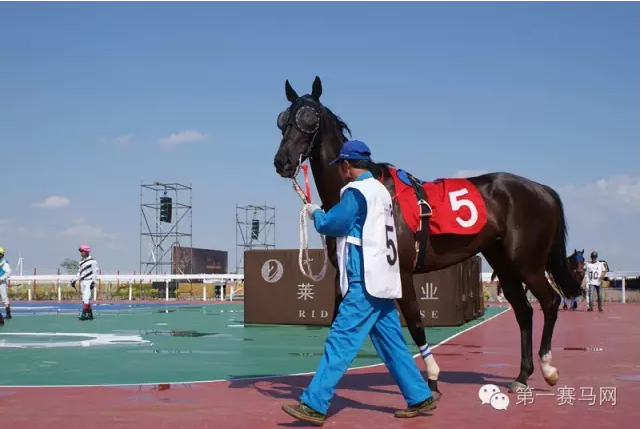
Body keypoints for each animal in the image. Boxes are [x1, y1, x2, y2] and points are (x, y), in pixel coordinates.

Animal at [272, 76, 583, 396]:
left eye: (309, 119)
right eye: (283, 120)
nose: (282, 161)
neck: (364, 194)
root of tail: (542, 190)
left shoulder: (401, 271)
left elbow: (415, 322)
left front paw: (432, 377)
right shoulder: (345, 275)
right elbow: (339, 325)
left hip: (528, 263)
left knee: (550, 302)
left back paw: (547, 368)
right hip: (503, 263)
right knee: (523, 311)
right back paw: (522, 375)